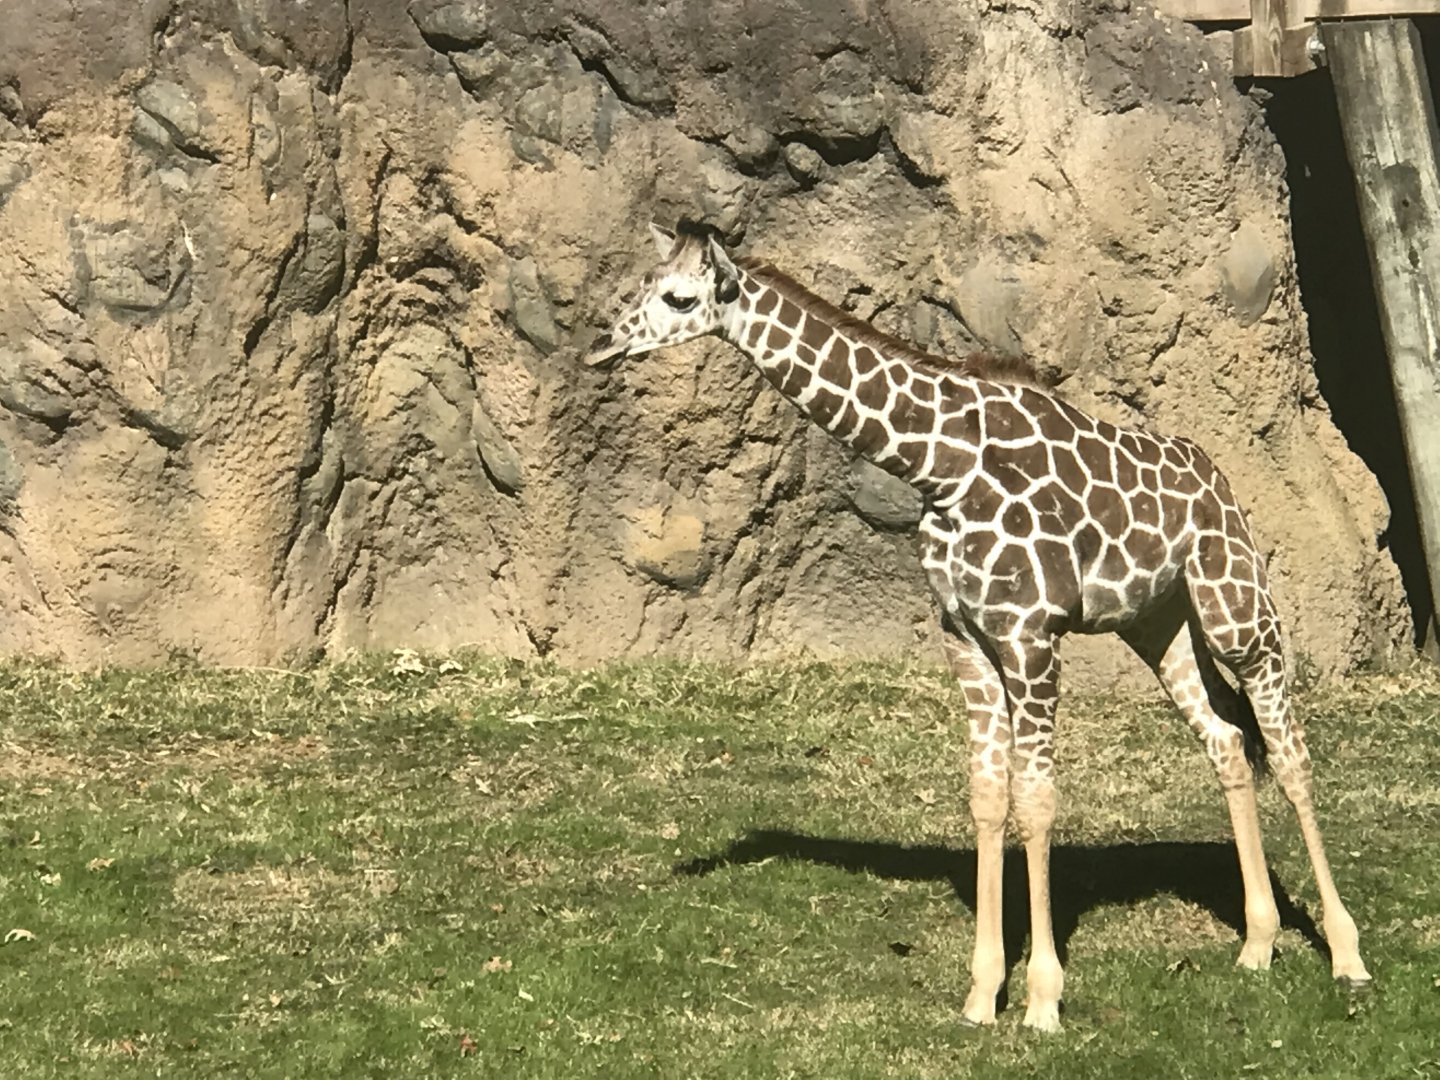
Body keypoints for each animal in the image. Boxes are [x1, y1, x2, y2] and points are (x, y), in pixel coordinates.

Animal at [586, 222, 1371, 1032]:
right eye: (641, 284)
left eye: (678, 298)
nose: (600, 345)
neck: (941, 467)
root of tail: (1219, 479)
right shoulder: (966, 637)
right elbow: (989, 798)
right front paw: (980, 995)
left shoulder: (1030, 635)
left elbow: (1037, 801)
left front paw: (1043, 1000)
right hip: (1158, 625)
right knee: (1226, 740)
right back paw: (1256, 945)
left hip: (1236, 607)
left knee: (1289, 753)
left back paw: (1347, 956)